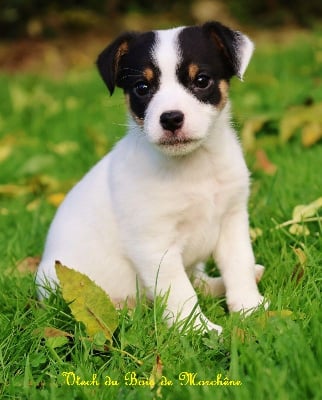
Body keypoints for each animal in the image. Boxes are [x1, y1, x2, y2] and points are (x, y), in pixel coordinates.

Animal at [35, 21, 266, 334]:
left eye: (201, 80)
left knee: (201, 281)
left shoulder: (232, 220)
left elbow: (239, 265)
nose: (171, 118)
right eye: (142, 88)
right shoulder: (154, 245)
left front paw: (250, 309)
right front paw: (199, 330)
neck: (193, 167)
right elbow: (181, 293)